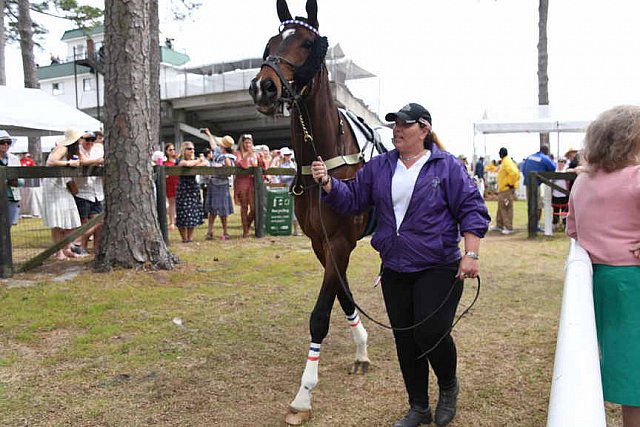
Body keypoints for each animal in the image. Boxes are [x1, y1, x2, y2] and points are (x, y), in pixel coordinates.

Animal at [250, 0, 370, 422]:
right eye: (270, 43)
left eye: (306, 42)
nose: (264, 86)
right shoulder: (323, 243)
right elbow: (344, 296)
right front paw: (362, 347)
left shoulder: (342, 240)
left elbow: (320, 313)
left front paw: (304, 394)